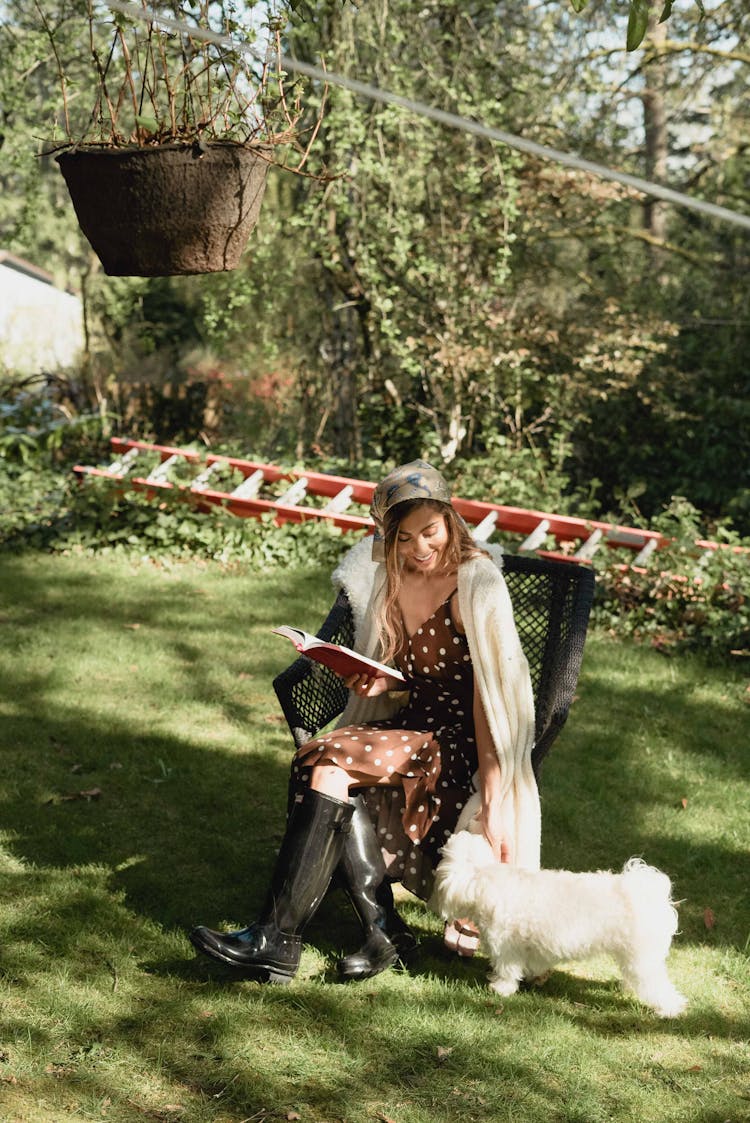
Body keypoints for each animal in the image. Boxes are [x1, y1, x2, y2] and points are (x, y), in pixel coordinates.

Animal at [433, 835, 687, 1019]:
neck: (484, 879)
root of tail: (647, 892)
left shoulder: (506, 948)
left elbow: (507, 970)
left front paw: (500, 988)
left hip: (642, 960)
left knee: (658, 985)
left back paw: (669, 1009)